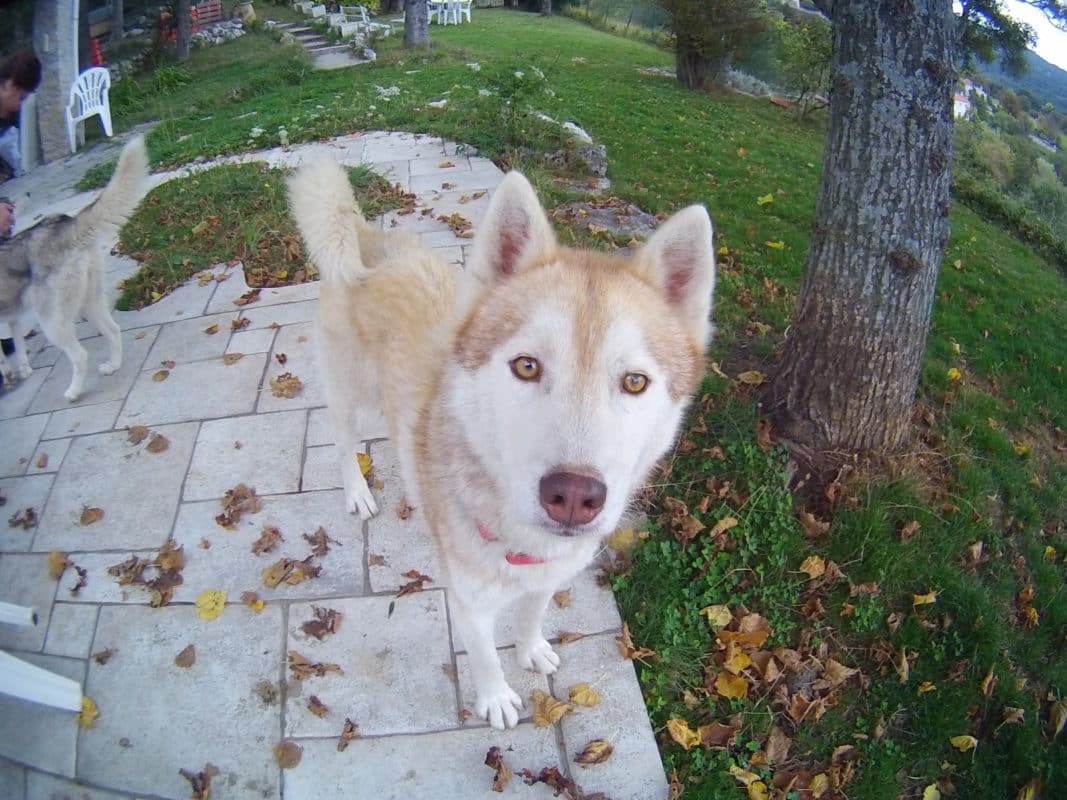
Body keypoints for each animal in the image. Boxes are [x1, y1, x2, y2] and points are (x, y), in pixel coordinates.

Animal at [0, 137, 148, 403]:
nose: (24, 195)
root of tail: (66, 224)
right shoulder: (11, 315)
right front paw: (22, 369)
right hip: (89, 299)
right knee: (113, 329)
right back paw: (113, 365)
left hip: (51, 320)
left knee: (80, 355)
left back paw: (73, 392)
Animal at [290, 157, 717, 733]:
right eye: (527, 366)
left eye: (634, 382)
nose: (574, 496)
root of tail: (364, 235)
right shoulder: (469, 602)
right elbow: (485, 655)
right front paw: (496, 697)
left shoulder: (546, 578)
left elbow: (532, 615)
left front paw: (531, 647)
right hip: (348, 394)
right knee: (341, 440)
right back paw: (357, 490)